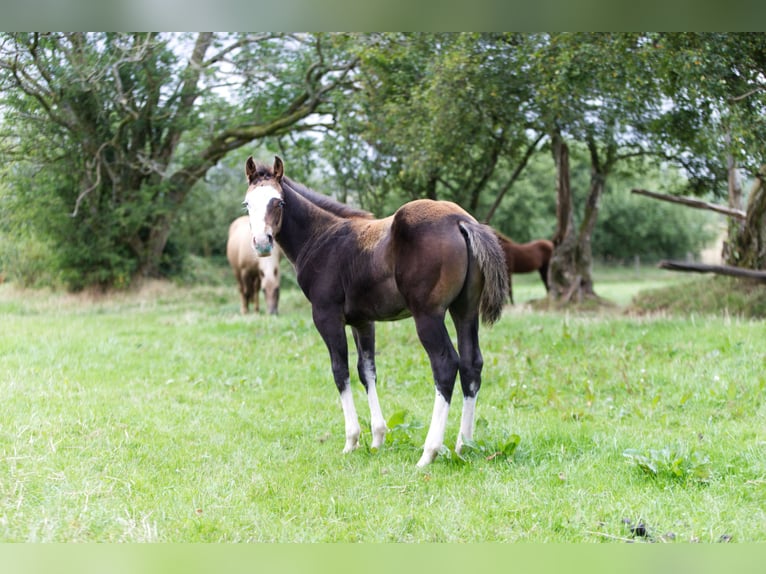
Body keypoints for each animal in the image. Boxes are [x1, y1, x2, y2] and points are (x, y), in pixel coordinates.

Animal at [242, 156, 510, 468]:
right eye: (247, 204)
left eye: (279, 202)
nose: (262, 242)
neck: (321, 238)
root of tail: (461, 220)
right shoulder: (363, 321)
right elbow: (366, 370)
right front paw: (378, 438)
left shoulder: (326, 316)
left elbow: (340, 371)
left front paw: (351, 441)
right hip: (464, 310)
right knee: (471, 363)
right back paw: (463, 446)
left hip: (428, 315)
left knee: (445, 365)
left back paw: (429, 453)